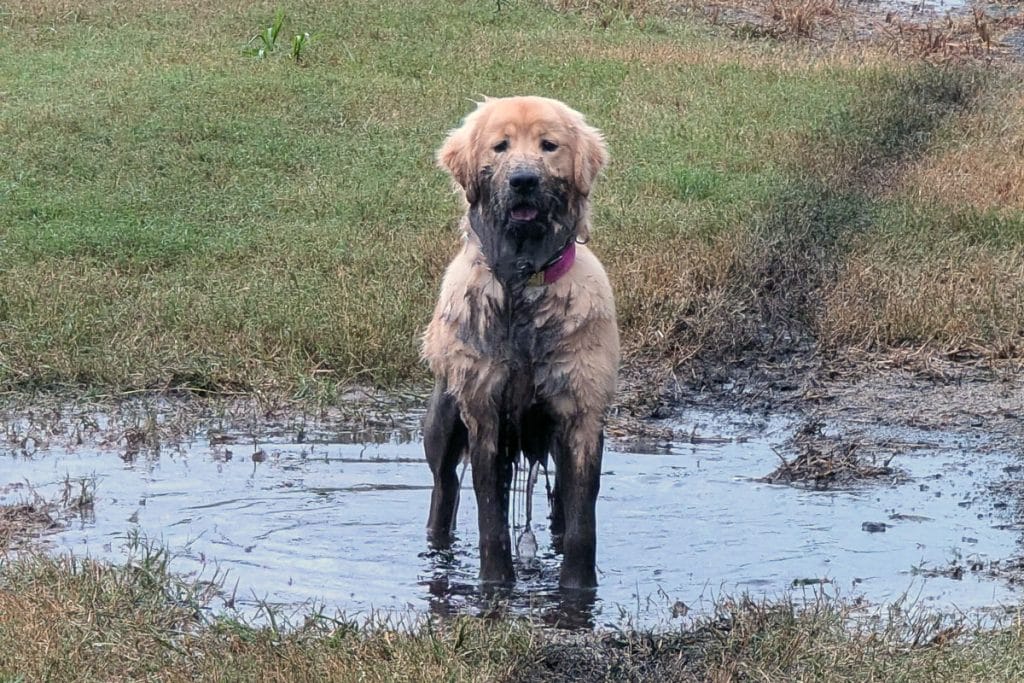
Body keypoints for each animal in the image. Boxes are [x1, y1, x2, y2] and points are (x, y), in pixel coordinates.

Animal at [421, 94, 618, 589]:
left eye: (549, 146)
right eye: (500, 146)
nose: (524, 180)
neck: (522, 282)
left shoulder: (581, 412)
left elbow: (583, 519)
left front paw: (578, 589)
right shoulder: (484, 409)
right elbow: (490, 512)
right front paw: (495, 584)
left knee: (561, 502)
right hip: (444, 418)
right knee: (444, 487)